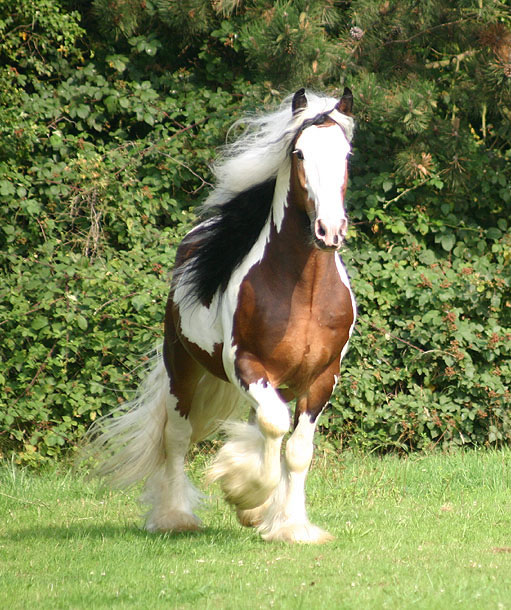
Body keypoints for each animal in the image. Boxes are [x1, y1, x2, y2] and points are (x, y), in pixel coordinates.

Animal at [85, 86, 356, 540]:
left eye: (347, 154)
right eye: (299, 153)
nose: (329, 231)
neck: (304, 294)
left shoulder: (322, 377)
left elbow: (297, 449)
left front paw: (289, 526)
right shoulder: (244, 363)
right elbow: (274, 426)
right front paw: (242, 491)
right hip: (181, 366)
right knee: (176, 437)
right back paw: (175, 517)